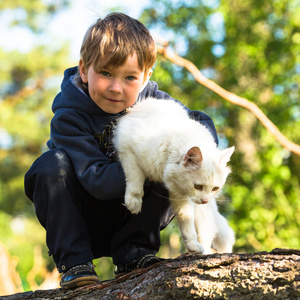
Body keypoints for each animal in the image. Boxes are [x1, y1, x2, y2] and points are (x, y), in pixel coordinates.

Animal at [113, 98, 236, 253]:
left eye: (215, 189)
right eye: (198, 186)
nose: (205, 200)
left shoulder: (181, 196)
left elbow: (187, 224)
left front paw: (194, 247)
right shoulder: (128, 150)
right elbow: (136, 179)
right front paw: (134, 202)